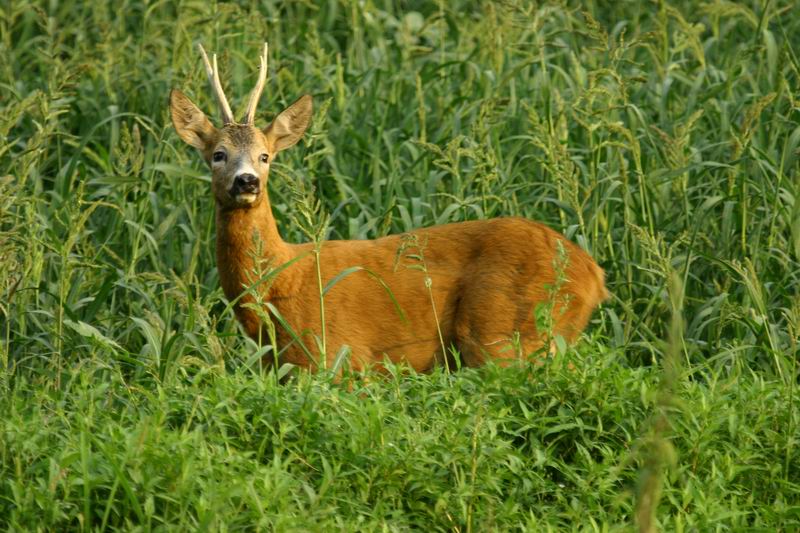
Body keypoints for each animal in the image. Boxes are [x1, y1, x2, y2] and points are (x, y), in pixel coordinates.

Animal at [170, 43, 608, 372]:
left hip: (505, 332)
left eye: (265, 156)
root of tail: (592, 272)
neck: (280, 281)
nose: (247, 182)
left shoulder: (337, 358)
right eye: (218, 154)